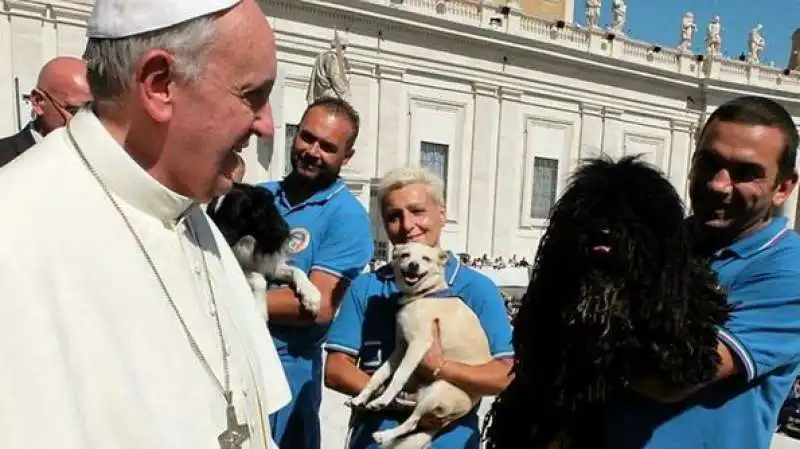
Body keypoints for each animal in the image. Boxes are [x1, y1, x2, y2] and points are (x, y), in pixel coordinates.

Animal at [205, 180, 320, 320]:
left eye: (231, 217)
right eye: (210, 215)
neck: (248, 241)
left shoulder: (270, 265)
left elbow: (297, 271)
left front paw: (311, 294)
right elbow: (259, 279)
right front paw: (259, 311)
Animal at [348, 242, 494, 448]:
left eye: (426, 258)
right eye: (405, 255)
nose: (413, 265)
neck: (424, 295)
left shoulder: (417, 346)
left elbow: (398, 376)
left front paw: (383, 400)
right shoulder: (400, 348)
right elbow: (378, 375)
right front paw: (361, 398)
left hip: (437, 391)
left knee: (413, 421)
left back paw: (384, 435)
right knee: (412, 415)